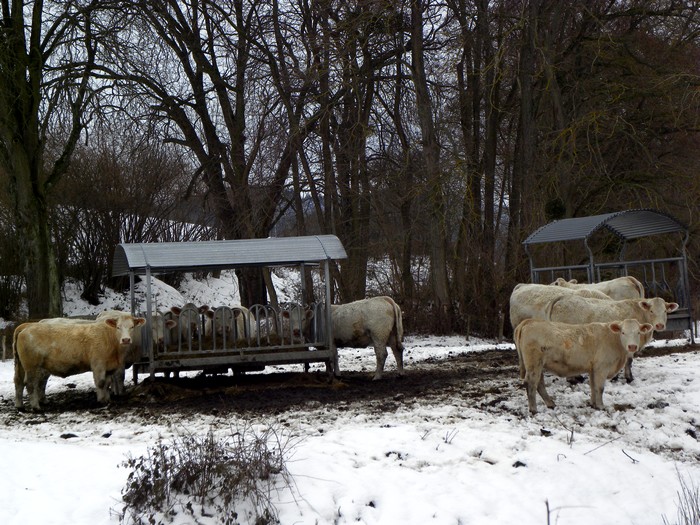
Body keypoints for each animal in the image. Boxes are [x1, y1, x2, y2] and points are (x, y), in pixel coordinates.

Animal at [13, 312, 145, 410]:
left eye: (132, 327)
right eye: (118, 327)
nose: (126, 339)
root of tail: (27, 327)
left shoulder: (109, 367)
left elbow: (107, 383)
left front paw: (107, 399)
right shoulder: (98, 364)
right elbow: (101, 382)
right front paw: (101, 400)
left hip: (22, 365)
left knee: (19, 382)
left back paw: (20, 406)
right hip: (32, 366)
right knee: (30, 384)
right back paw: (36, 407)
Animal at [516, 318, 656, 416]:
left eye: (638, 332)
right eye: (623, 332)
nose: (632, 346)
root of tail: (529, 321)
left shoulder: (592, 369)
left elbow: (593, 386)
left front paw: (593, 404)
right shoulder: (601, 367)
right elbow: (600, 387)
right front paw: (601, 406)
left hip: (538, 365)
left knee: (539, 383)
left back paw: (551, 404)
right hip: (534, 363)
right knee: (531, 383)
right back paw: (534, 409)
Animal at [548, 294, 680, 380]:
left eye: (665, 311)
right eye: (651, 311)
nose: (659, 325)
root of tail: (563, 298)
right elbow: (629, 360)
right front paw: (629, 377)